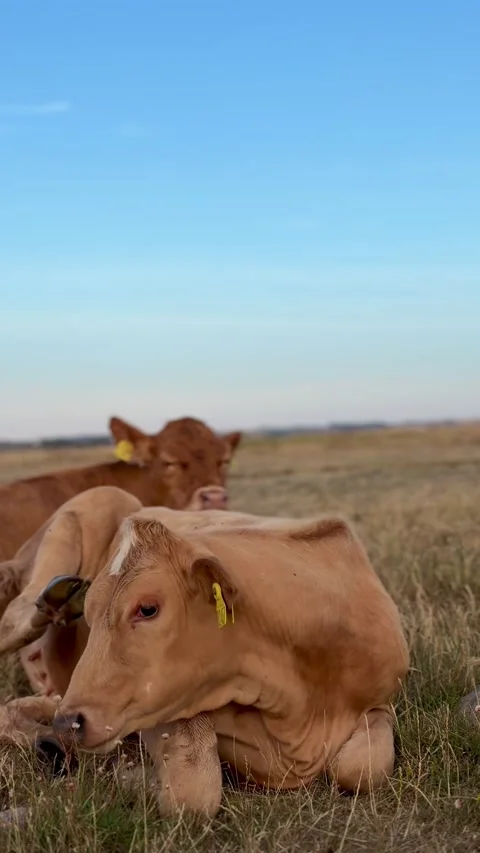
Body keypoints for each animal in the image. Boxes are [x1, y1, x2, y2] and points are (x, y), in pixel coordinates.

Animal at [43, 506, 408, 818]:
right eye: (88, 613)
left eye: (147, 608)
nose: (68, 721)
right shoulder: (160, 707)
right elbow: (193, 794)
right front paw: (133, 776)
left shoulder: (381, 702)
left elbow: (362, 768)